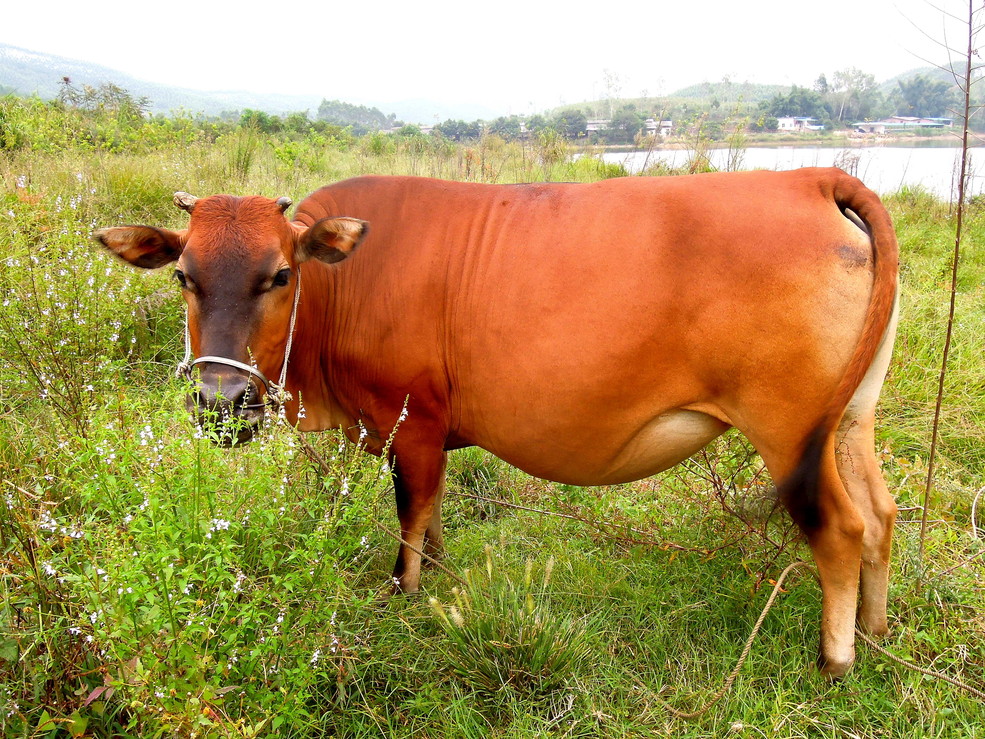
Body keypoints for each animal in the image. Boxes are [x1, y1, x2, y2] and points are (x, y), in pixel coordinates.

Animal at [94, 171, 900, 680]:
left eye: (280, 275)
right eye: (183, 276)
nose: (221, 400)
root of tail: (809, 177)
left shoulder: (411, 421)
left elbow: (409, 517)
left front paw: (407, 594)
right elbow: (433, 514)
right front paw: (446, 571)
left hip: (788, 430)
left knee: (839, 527)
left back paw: (835, 659)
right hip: (849, 421)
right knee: (881, 513)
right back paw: (874, 629)